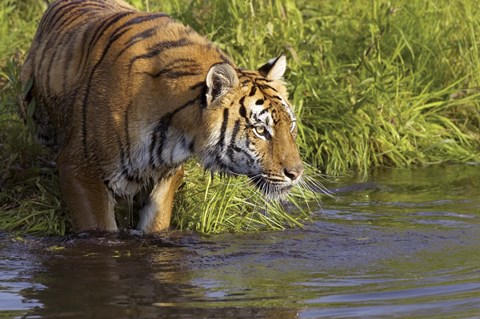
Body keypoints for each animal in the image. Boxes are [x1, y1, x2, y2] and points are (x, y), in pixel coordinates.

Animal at [20, 0, 304, 235]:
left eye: (290, 126)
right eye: (260, 130)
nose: (297, 173)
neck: (178, 133)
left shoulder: (166, 175)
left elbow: (155, 224)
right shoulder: (80, 167)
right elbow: (98, 228)